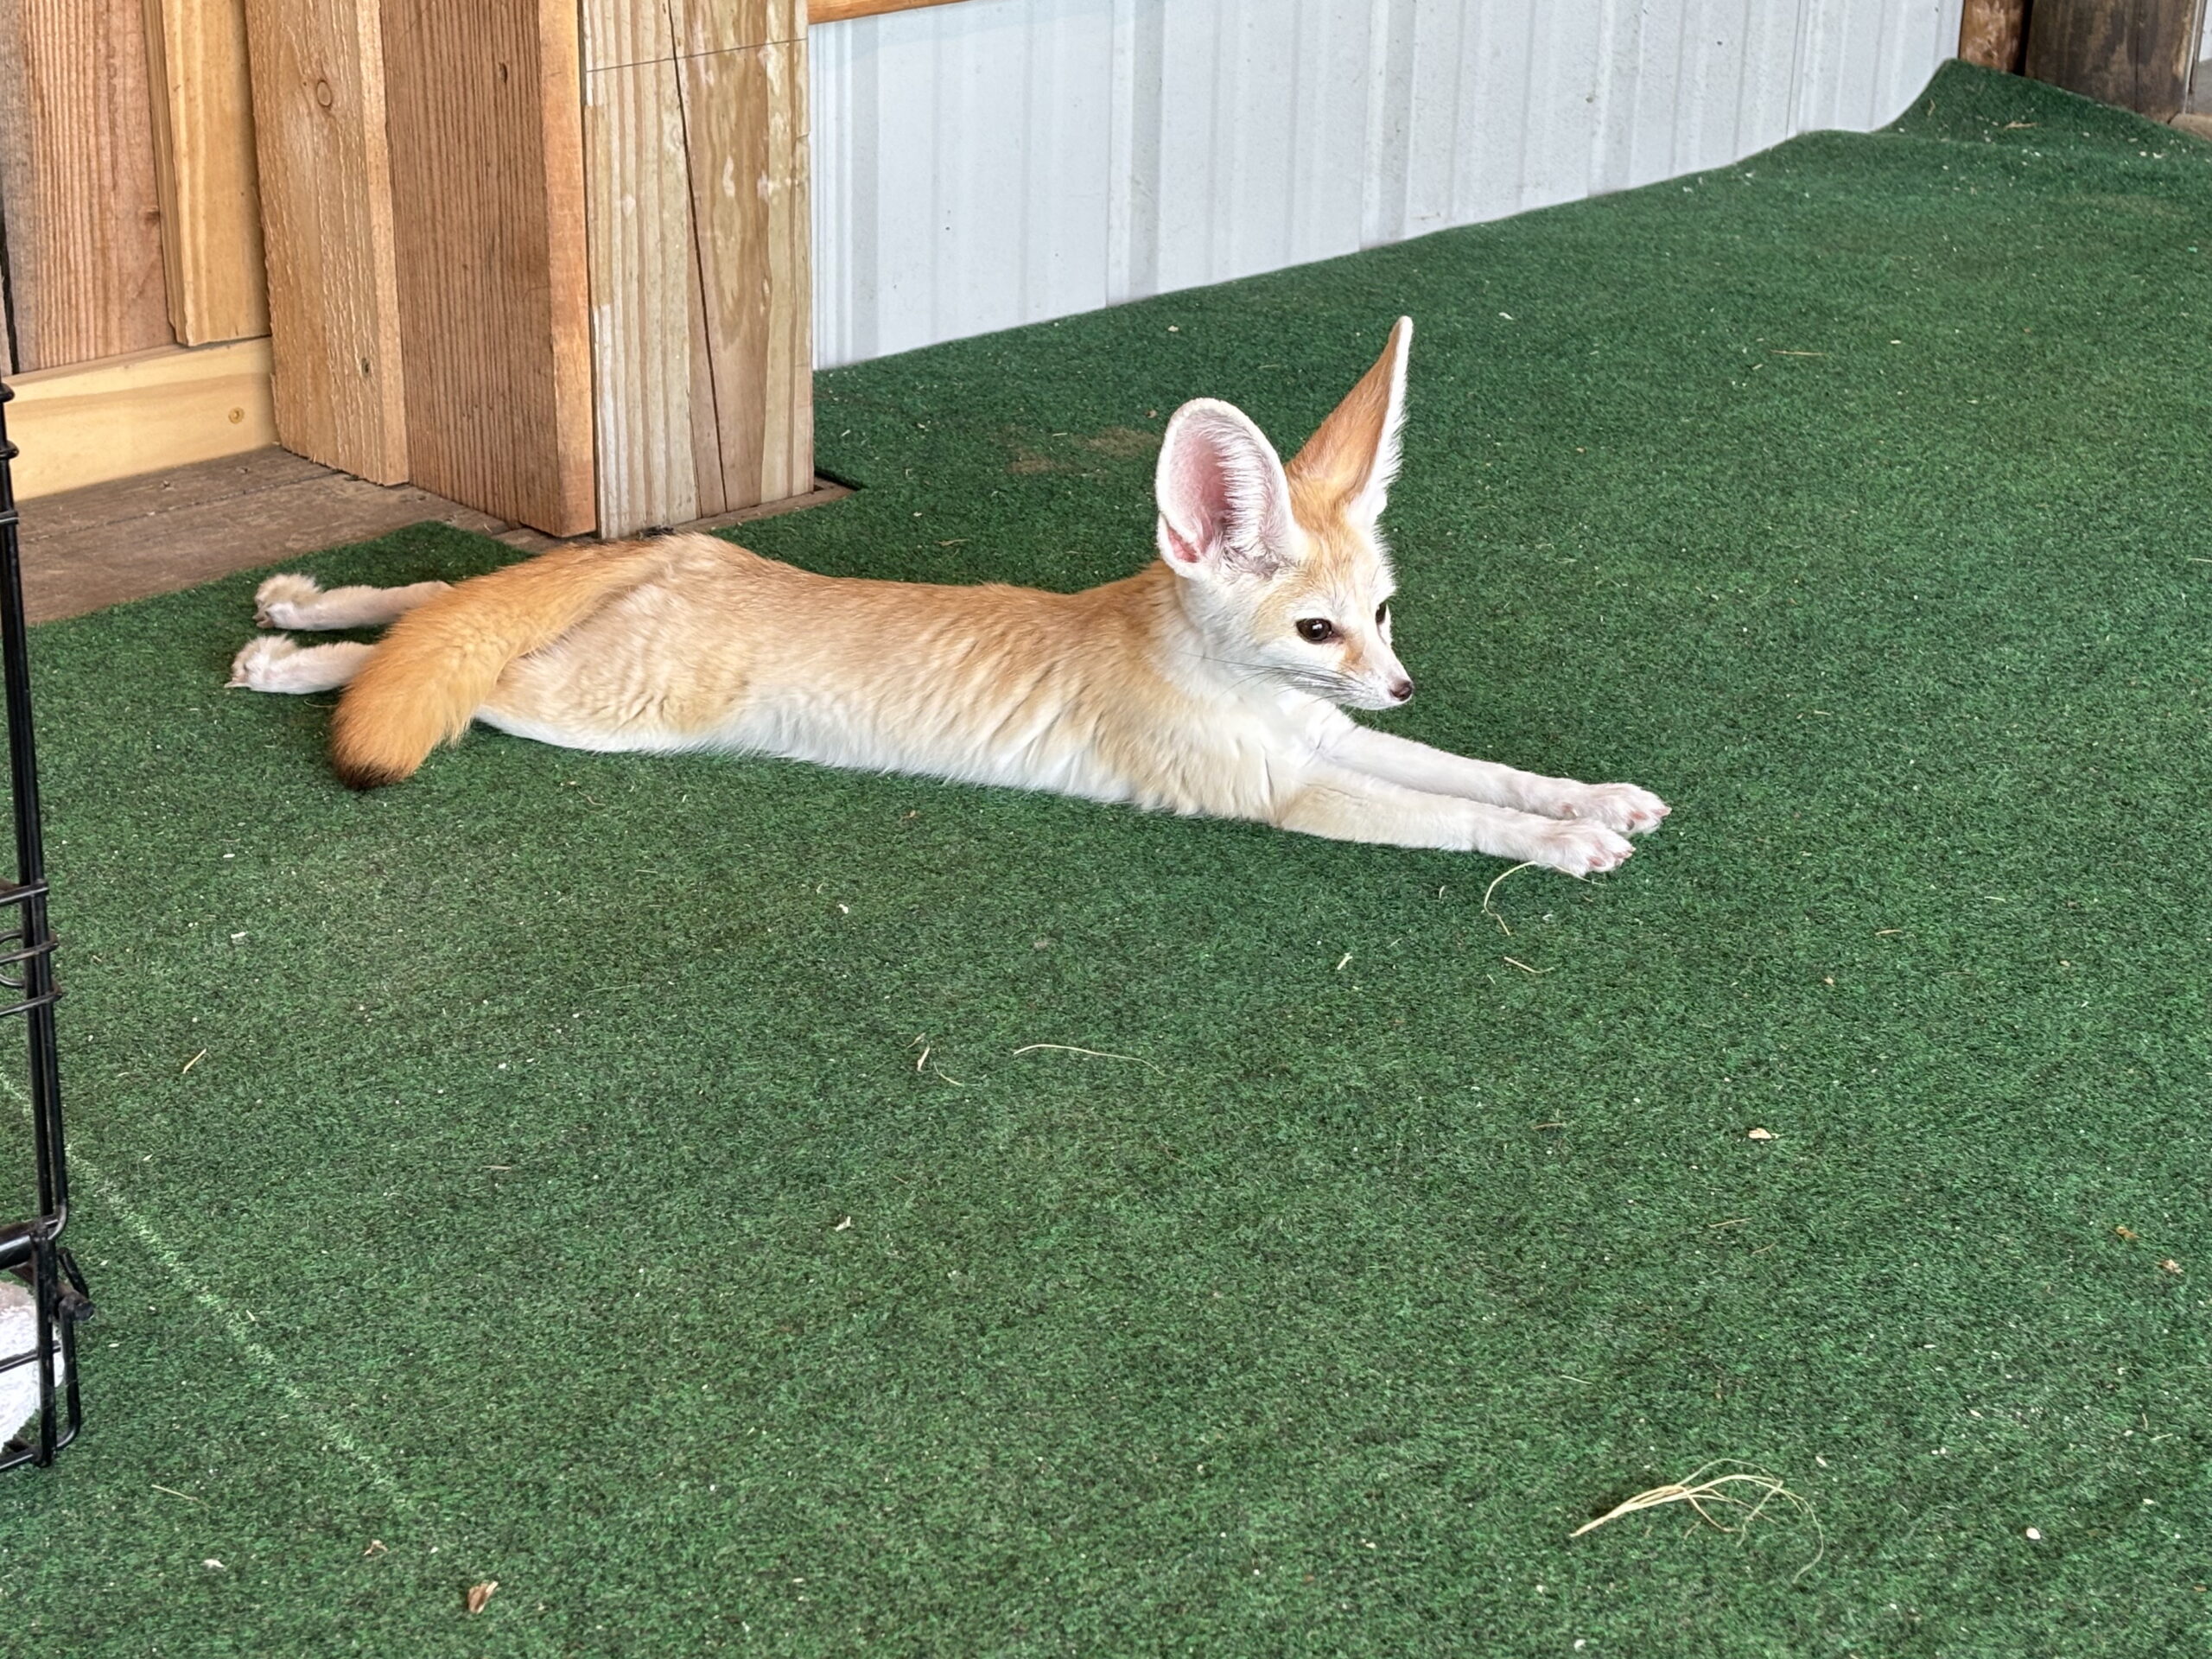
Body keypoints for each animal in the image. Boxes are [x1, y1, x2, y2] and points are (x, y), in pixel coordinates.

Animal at [228, 318, 1667, 875]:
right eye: (1315, 626)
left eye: (1383, 616)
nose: (1404, 681)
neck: (1244, 697)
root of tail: (677, 548)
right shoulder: (1289, 789)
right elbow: (1449, 816)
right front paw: (1555, 847)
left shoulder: (1329, 736)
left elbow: (1484, 773)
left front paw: (1589, 799)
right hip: (591, 710)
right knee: (450, 658)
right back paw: (301, 662)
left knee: (438, 590)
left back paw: (301, 613)